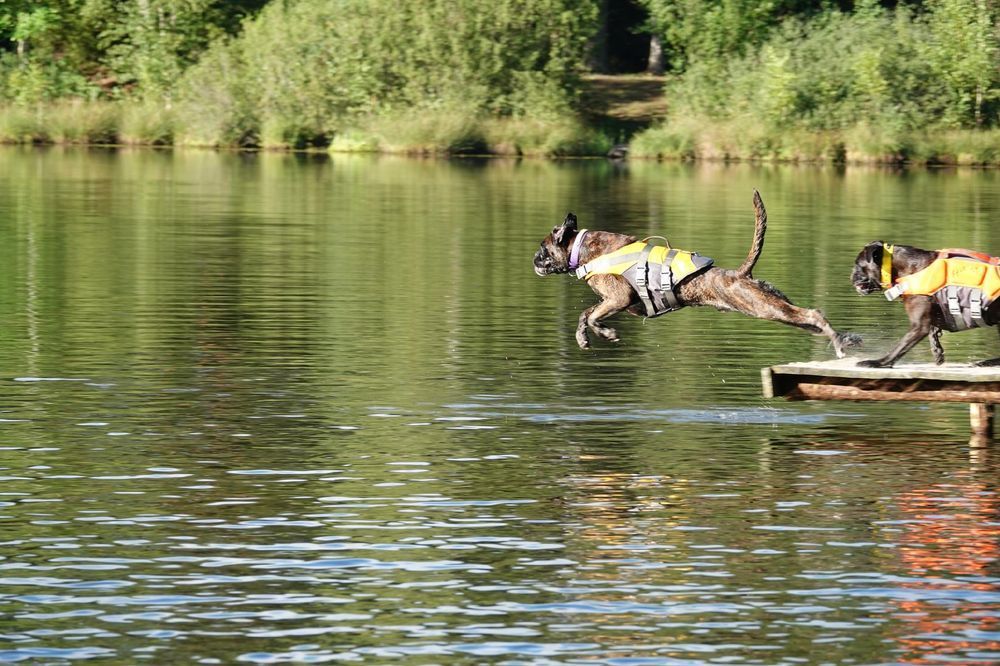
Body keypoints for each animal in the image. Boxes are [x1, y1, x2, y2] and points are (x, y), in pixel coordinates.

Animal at [532, 188, 860, 352]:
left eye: (543, 248)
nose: (534, 259)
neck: (582, 247)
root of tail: (740, 275)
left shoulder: (618, 300)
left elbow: (590, 315)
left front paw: (605, 334)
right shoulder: (622, 305)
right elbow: (585, 315)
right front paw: (584, 338)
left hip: (764, 308)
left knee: (814, 314)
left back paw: (841, 342)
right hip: (776, 306)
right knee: (812, 320)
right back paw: (844, 338)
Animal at [852, 240, 1000, 366]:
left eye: (858, 265)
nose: (851, 274)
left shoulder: (918, 326)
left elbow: (899, 347)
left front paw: (879, 362)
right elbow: (933, 331)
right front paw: (937, 350)